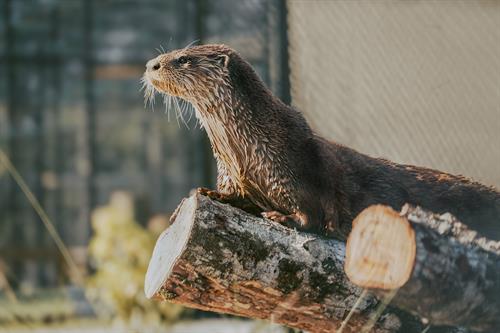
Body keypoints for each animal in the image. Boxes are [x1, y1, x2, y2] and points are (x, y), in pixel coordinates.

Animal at [142, 43, 500, 239]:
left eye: (183, 59)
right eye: (174, 54)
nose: (150, 64)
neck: (250, 149)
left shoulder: (301, 172)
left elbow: (313, 215)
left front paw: (283, 217)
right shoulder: (237, 176)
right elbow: (234, 195)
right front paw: (205, 193)